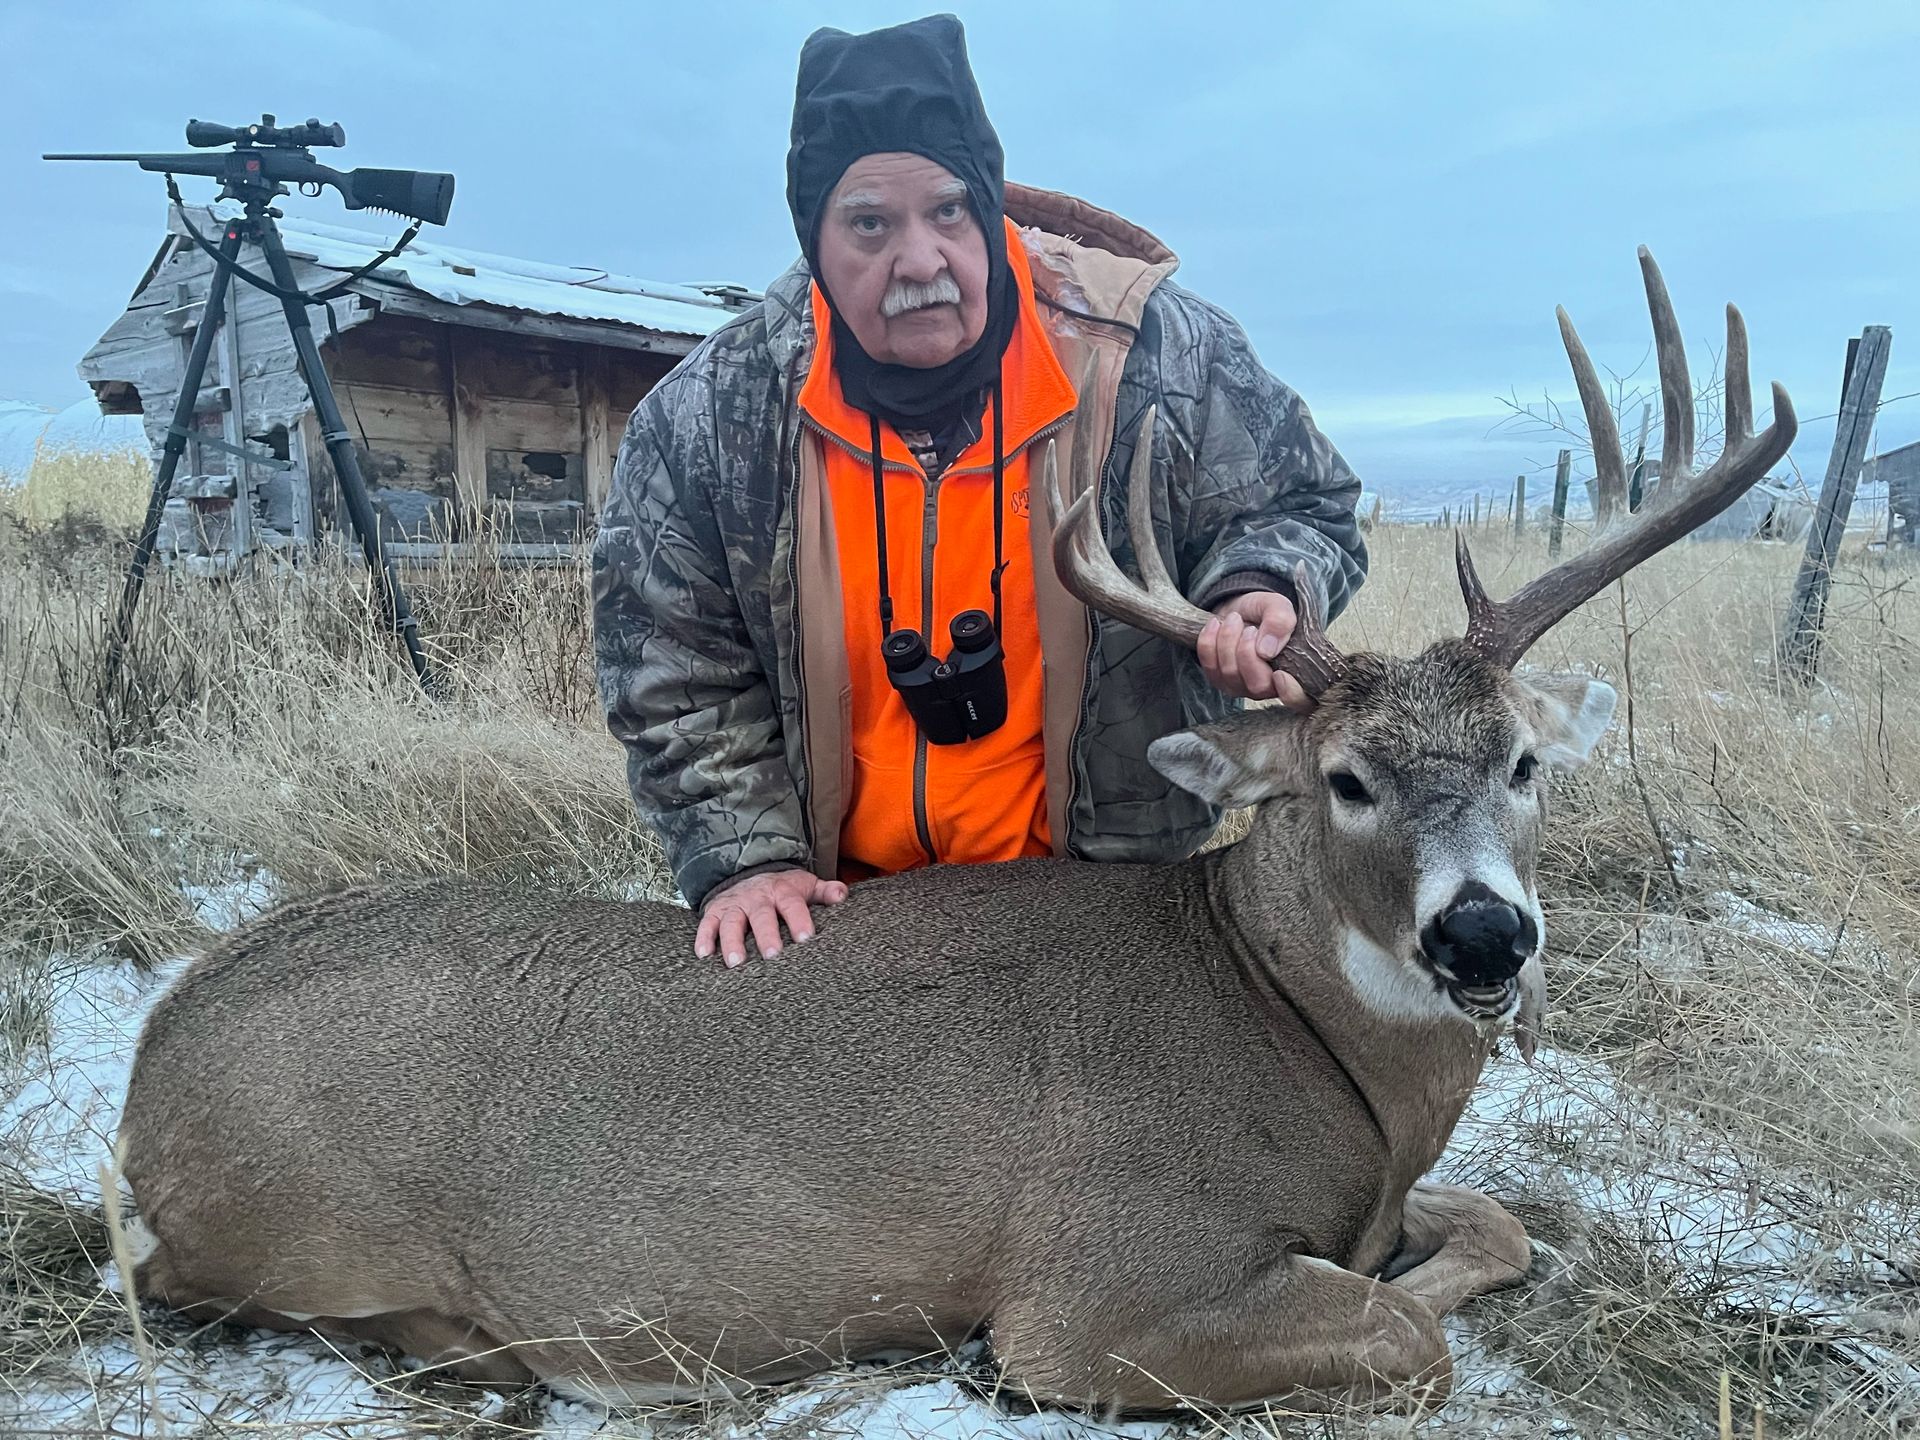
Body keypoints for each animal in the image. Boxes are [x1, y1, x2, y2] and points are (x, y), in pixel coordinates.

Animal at [115, 249, 1794, 1415]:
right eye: (1347, 782)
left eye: (1526, 762)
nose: (1484, 933)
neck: (1311, 1052)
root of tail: (146, 1080)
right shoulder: (1100, 1279)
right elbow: (1403, 1329)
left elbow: (1497, 1225)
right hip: (305, 1228)